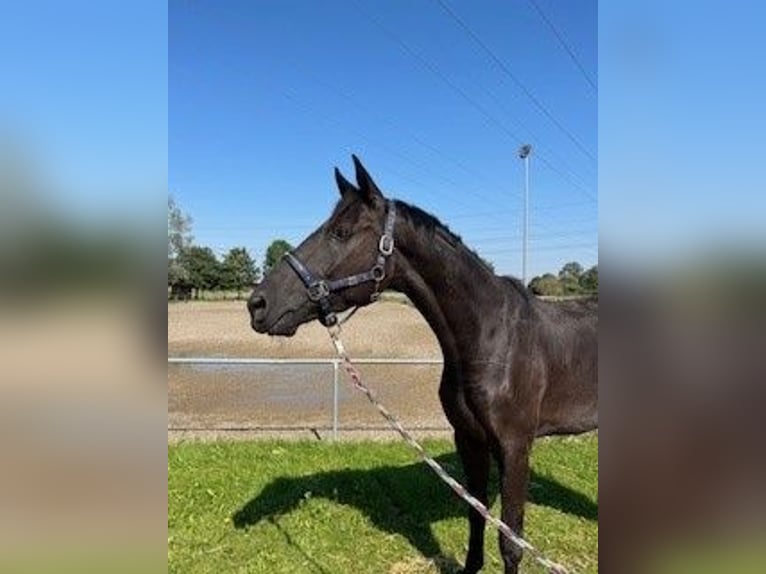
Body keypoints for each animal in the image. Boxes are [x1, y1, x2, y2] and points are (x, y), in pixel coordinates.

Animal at [249, 155, 596, 572]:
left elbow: (511, 541)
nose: (257, 304)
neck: (492, 338)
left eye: (341, 232)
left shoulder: (515, 447)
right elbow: (476, 515)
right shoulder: (469, 439)